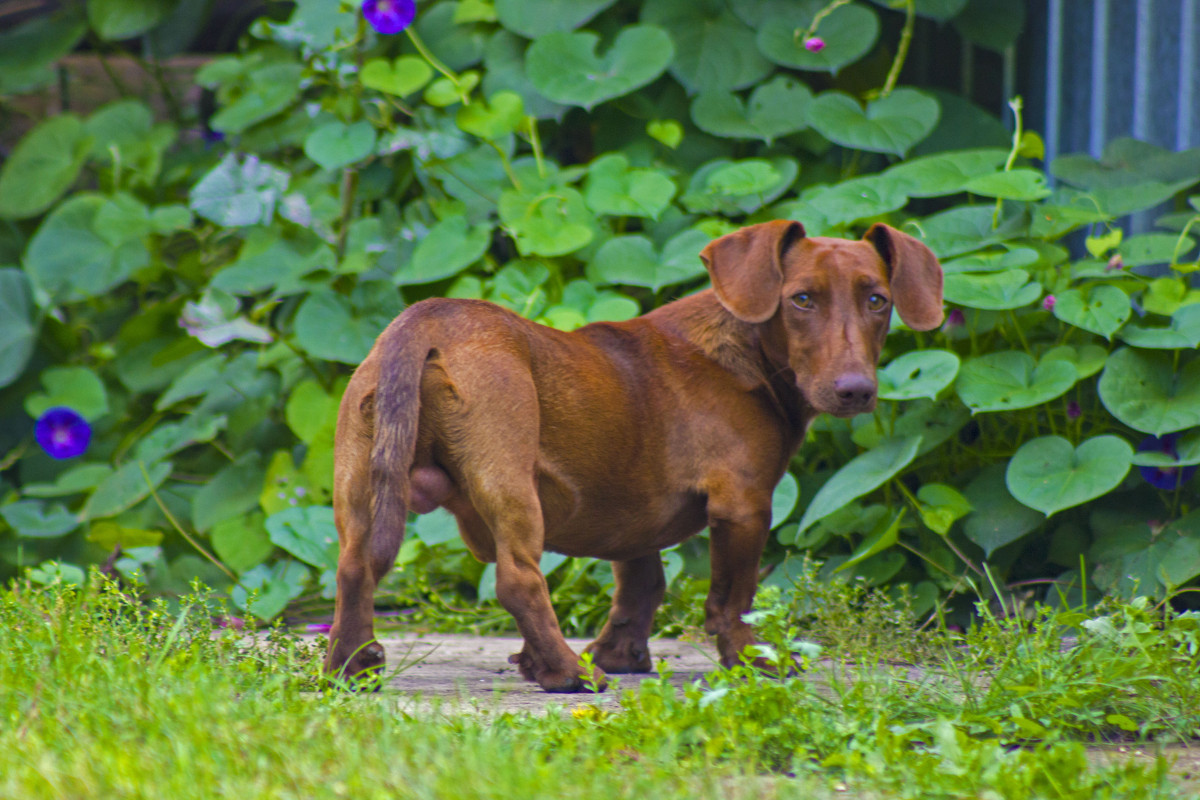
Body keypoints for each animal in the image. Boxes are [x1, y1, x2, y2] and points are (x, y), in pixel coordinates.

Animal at [324, 221, 940, 690]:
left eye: (878, 300)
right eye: (802, 299)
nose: (855, 390)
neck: (744, 350)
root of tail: (425, 320)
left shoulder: (632, 520)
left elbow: (641, 585)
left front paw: (616, 655)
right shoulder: (744, 504)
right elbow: (732, 598)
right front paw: (751, 660)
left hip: (359, 481)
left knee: (355, 566)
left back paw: (351, 665)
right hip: (510, 486)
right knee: (518, 581)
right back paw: (570, 674)